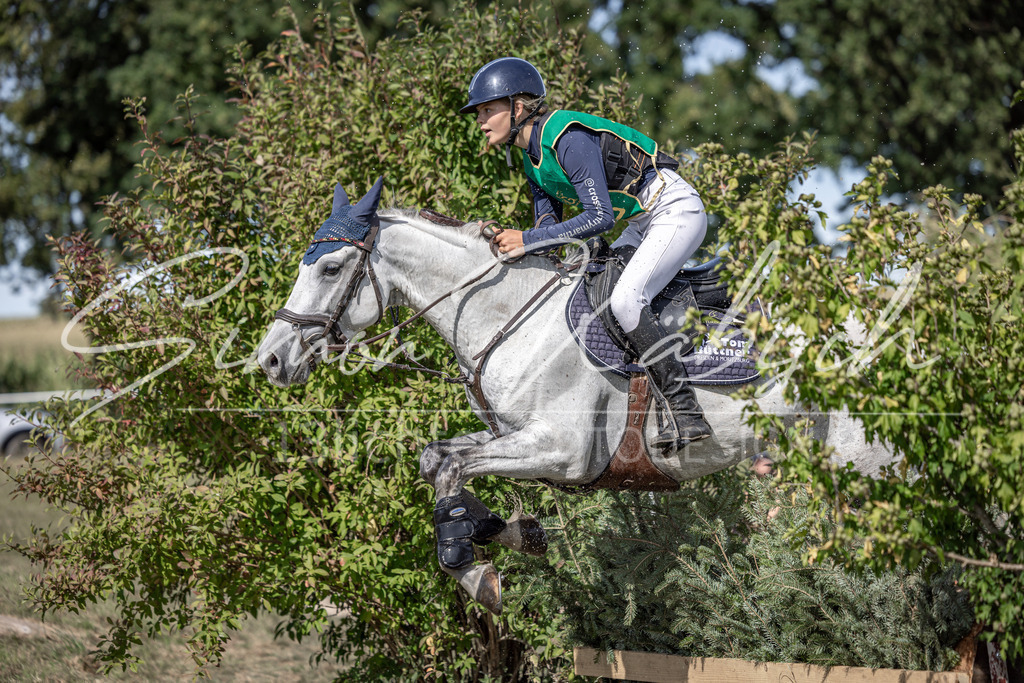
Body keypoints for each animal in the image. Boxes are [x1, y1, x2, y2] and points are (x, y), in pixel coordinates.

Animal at [256, 179, 891, 614]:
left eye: (331, 267)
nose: (271, 360)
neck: (510, 317)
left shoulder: (564, 452)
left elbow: (454, 469)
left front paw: (477, 575)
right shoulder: (515, 435)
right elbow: (438, 460)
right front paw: (504, 531)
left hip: (866, 467)